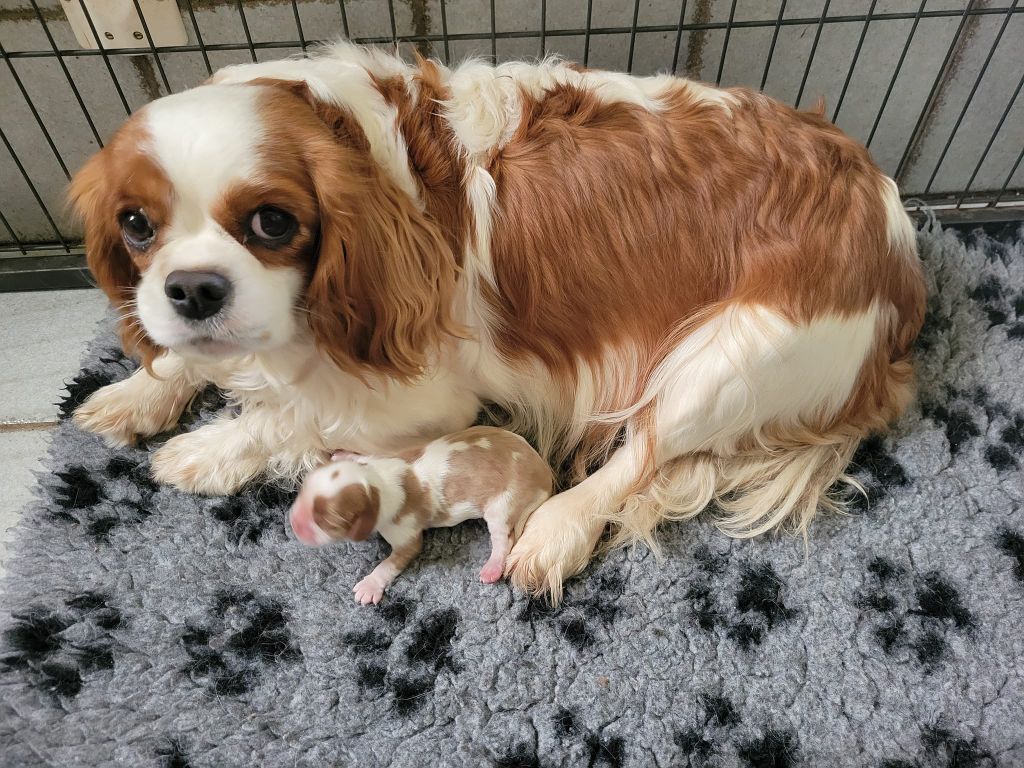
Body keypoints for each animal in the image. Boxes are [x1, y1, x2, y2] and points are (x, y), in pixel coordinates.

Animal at [66, 43, 929, 602]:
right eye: (136, 225)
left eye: (273, 223)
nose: (194, 288)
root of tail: (895, 225)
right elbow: (197, 359)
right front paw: (142, 391)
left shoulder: (421, 394)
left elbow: (292, 416)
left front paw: (206, 450)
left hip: (736, 353)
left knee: (645, 450)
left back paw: (555, 530)